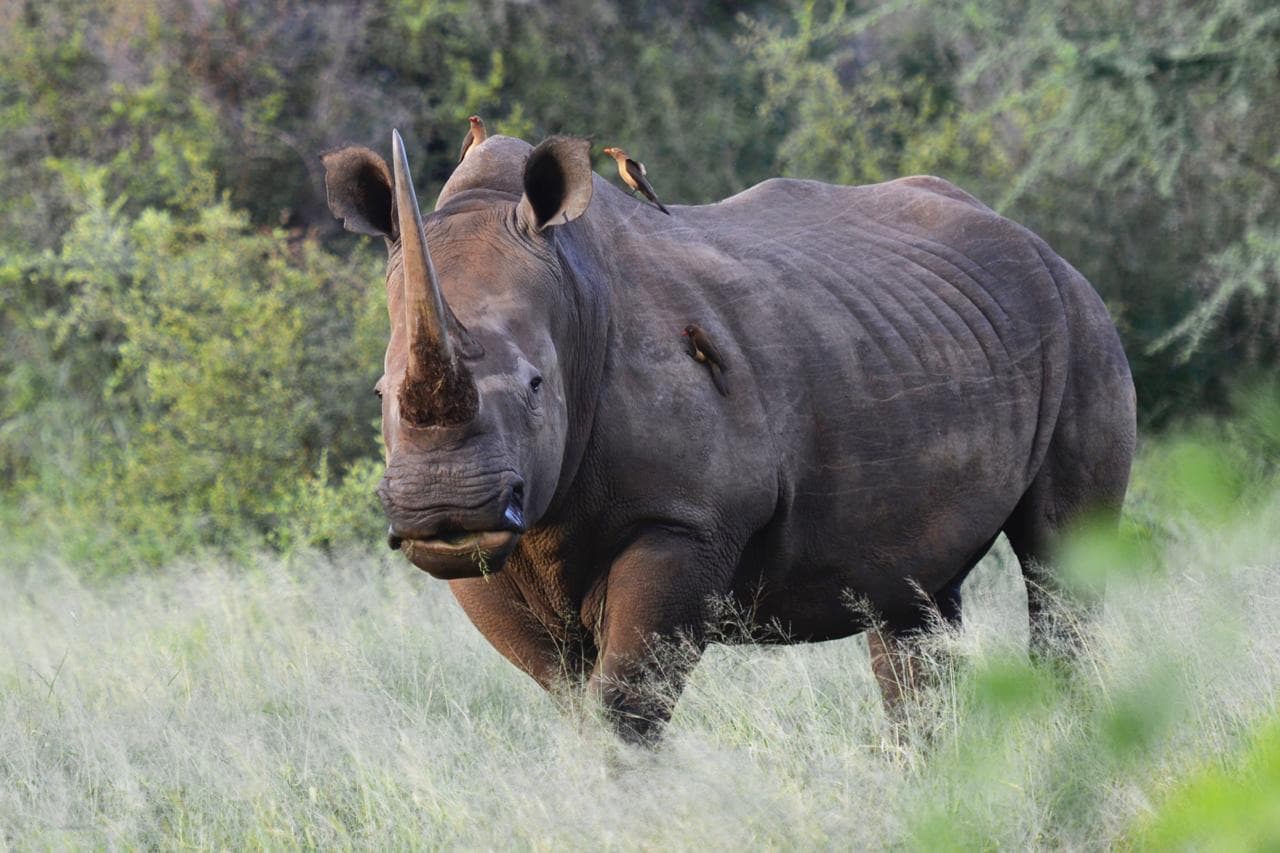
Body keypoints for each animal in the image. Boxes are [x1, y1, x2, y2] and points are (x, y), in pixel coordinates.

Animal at [321, 131, 1136, 743]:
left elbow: (626, 705)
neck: (575, 298)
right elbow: (574, 703)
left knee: (1061, 565)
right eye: (381, 395)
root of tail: (1037, 242)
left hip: (1083, 322)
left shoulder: (684, 520)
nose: (443, 506)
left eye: (536, 386)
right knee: (912, 600)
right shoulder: (495, 553)